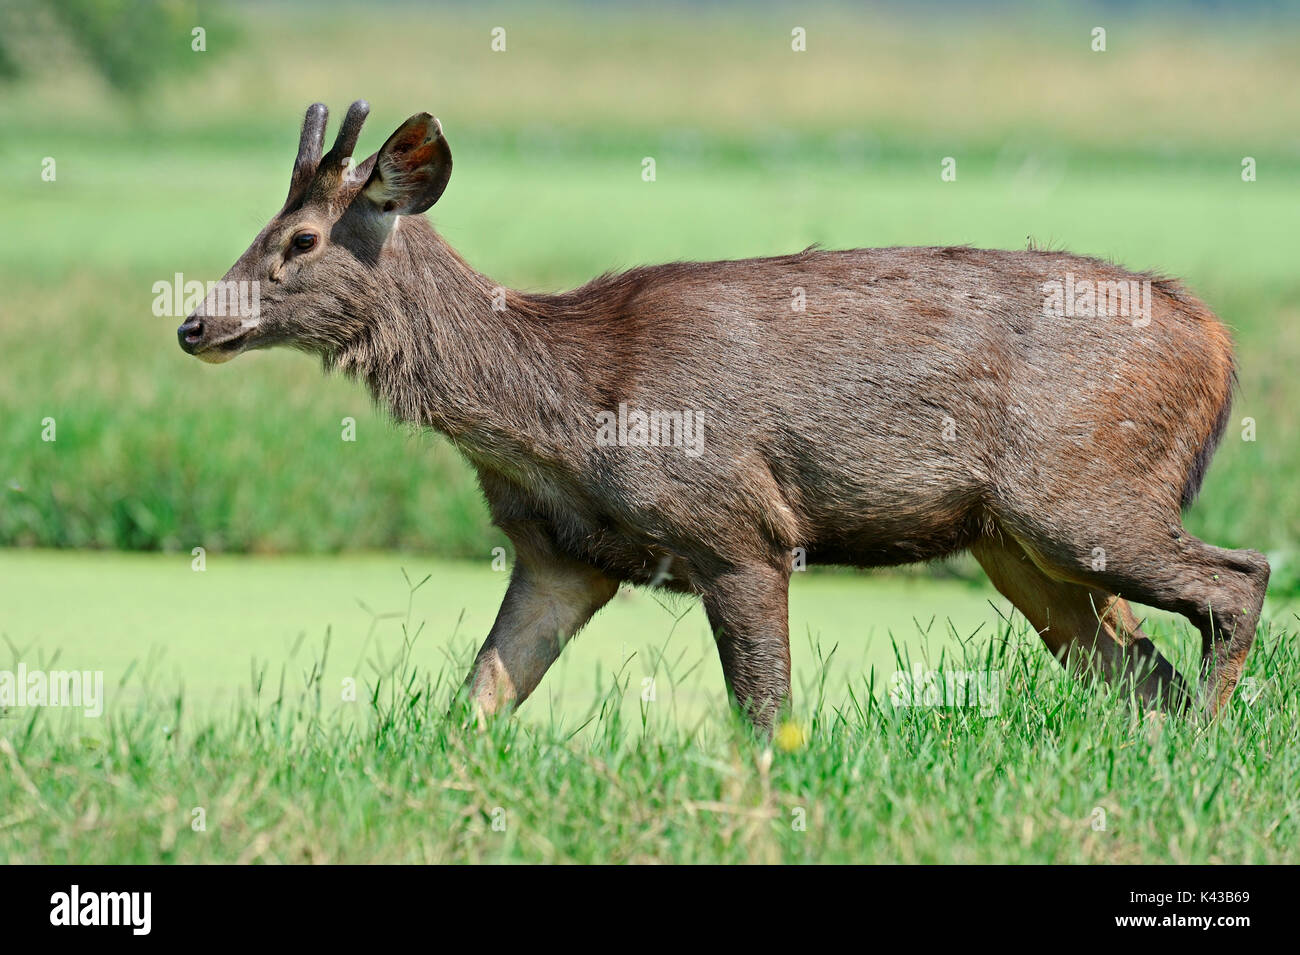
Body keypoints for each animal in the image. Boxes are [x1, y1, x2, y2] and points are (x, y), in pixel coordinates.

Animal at [178, 100, 1263, 732]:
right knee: (1140, 669)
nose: (193, 322)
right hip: (1015, 543)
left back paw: (1212, 744)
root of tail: (1218, 338)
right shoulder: (560, 554)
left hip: (1077, 489)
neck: (560, 418)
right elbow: (474, 701)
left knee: (1238, 579)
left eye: (301, 239)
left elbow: (766, 717)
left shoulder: (737, 523)